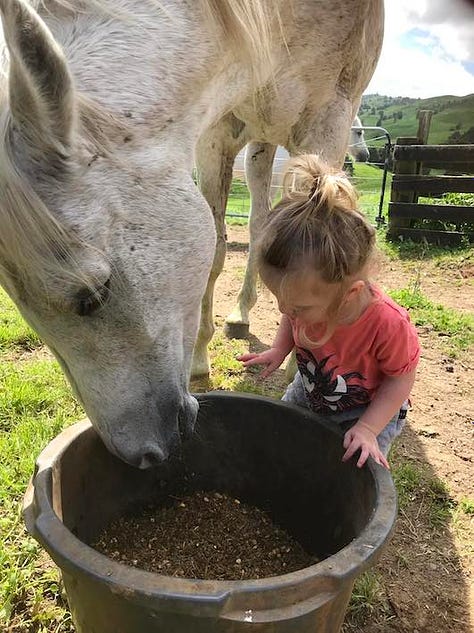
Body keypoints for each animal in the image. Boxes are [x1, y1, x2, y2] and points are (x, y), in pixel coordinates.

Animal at [0, 0, 384, 464]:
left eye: (93, 295)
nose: (141, 454)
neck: (280, 20)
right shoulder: (216, 133)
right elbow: (217, 250)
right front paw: (202, 355)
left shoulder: (330, 117)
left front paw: (303, 363)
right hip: (258, 145)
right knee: (259, 225)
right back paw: (239, 313)